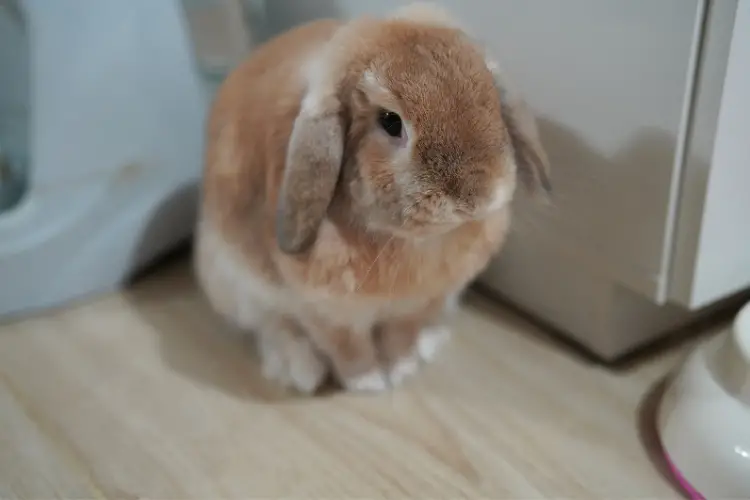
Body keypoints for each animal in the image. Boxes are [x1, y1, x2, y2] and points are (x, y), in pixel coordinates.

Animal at [194, 2, 552, 394]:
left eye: (490, 98)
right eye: (390, 122)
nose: (476, 198)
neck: (414, 242)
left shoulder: (421, 303)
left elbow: (402, 336)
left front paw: (403, 368)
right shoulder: (324, 313)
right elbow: (348, 349)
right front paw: (370, 383)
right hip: (233, 285)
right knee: (271, 326)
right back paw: (300, 369)